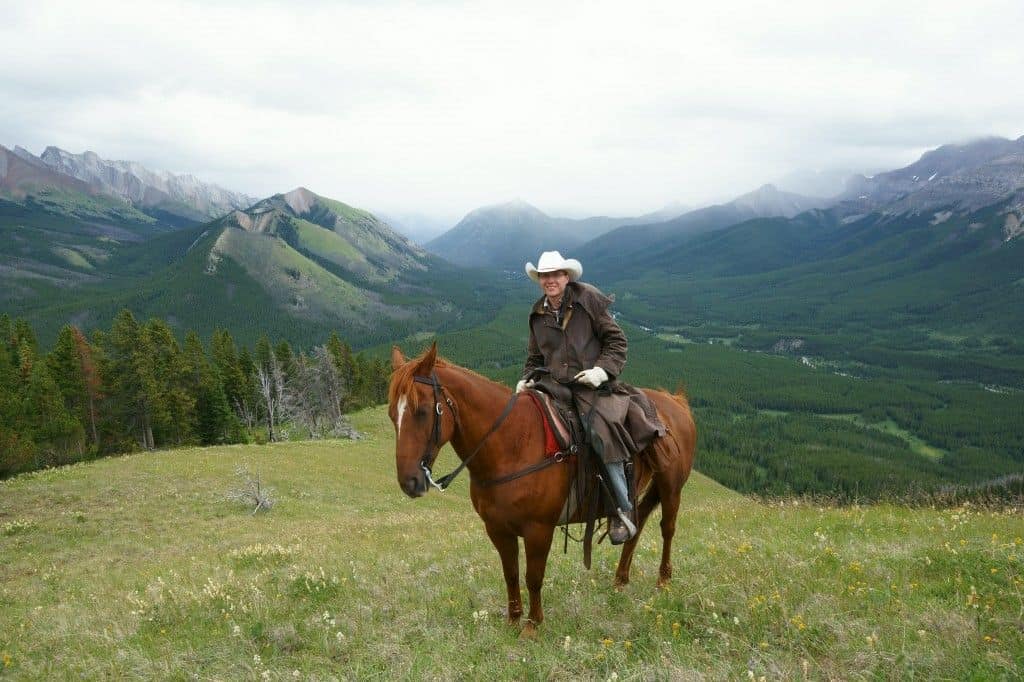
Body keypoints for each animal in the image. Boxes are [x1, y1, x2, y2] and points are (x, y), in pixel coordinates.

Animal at [385, 342, 696, 634]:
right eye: (391, 414)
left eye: (422, 411)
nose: (409, 481)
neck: (513, 444)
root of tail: (676, 402)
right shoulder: (497, 529)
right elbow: (511, 574)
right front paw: (513, 620)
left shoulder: (539, 529)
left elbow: (533, 577)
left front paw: (533, 626)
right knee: (637, 524)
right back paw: (620, 580)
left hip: (671, 487)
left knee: (667, 528)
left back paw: (663, 581)